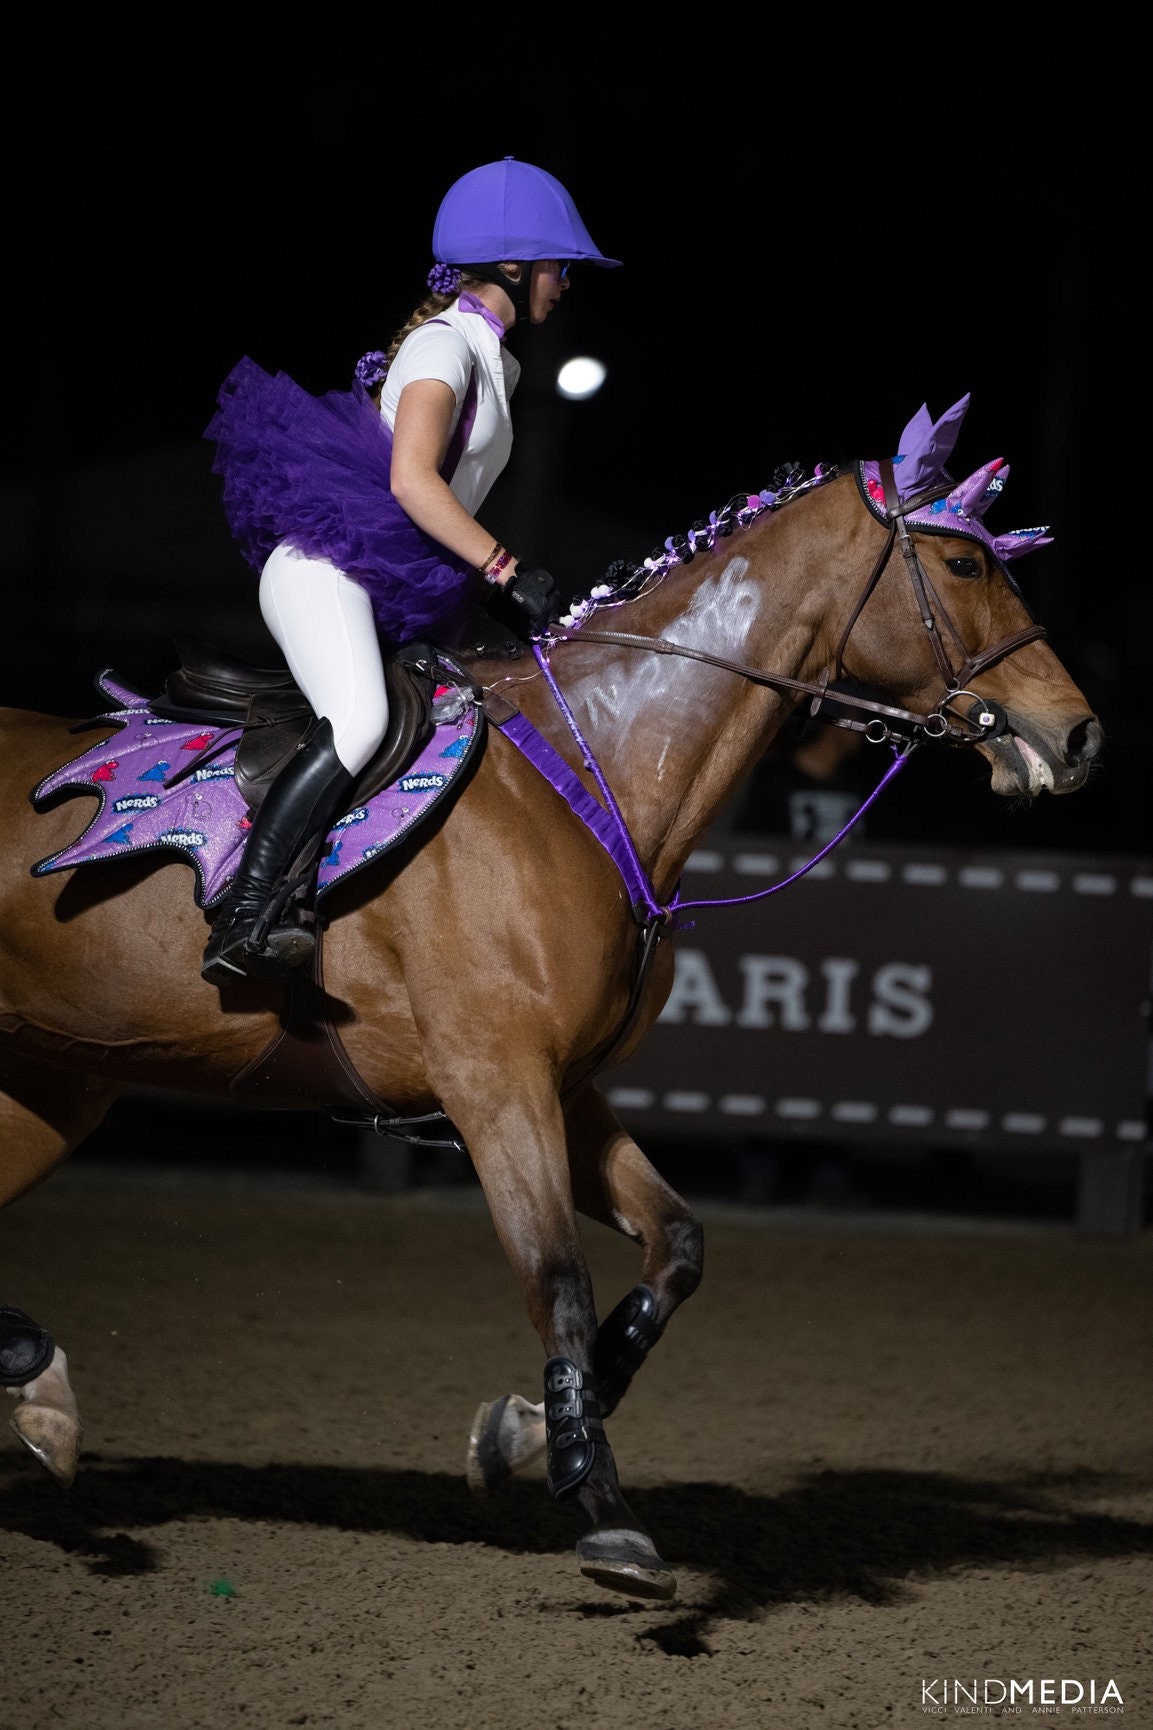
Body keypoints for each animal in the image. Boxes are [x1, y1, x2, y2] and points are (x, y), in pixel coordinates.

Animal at [0, 396, 1094, 1605]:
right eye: (962, 562)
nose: (1078, 733)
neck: (593, 769)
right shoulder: (494, 1084)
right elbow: (558, 1281)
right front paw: (605, 1513)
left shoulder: (567, 1089)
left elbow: (677, 1245)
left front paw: (527, 1429)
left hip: (54, 1080)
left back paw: (39, 1391)